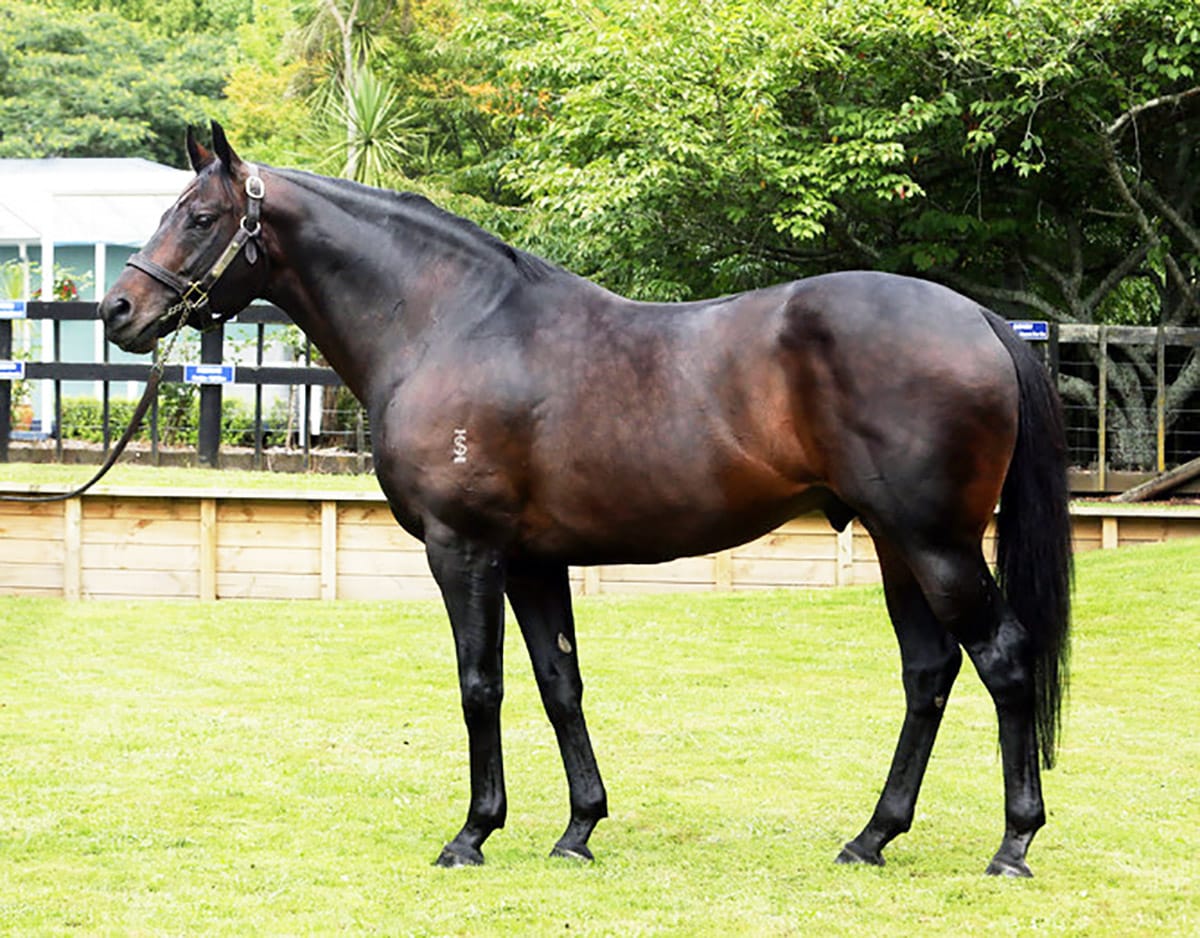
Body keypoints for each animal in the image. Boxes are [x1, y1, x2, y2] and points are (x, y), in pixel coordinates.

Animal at [100, 122, 1072, 877]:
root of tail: (979, 319)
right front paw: (578, 829)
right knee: (929, 672)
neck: (449, 323)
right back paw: (871, 837)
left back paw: (1013, 844)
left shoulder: (463, 549)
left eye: (199, 217)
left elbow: (481, 685)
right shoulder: (534, 561)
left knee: (1003, 660)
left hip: (936, 542)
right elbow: (559, 683)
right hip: (895, 543)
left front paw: (472, 834)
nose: (118, 311)